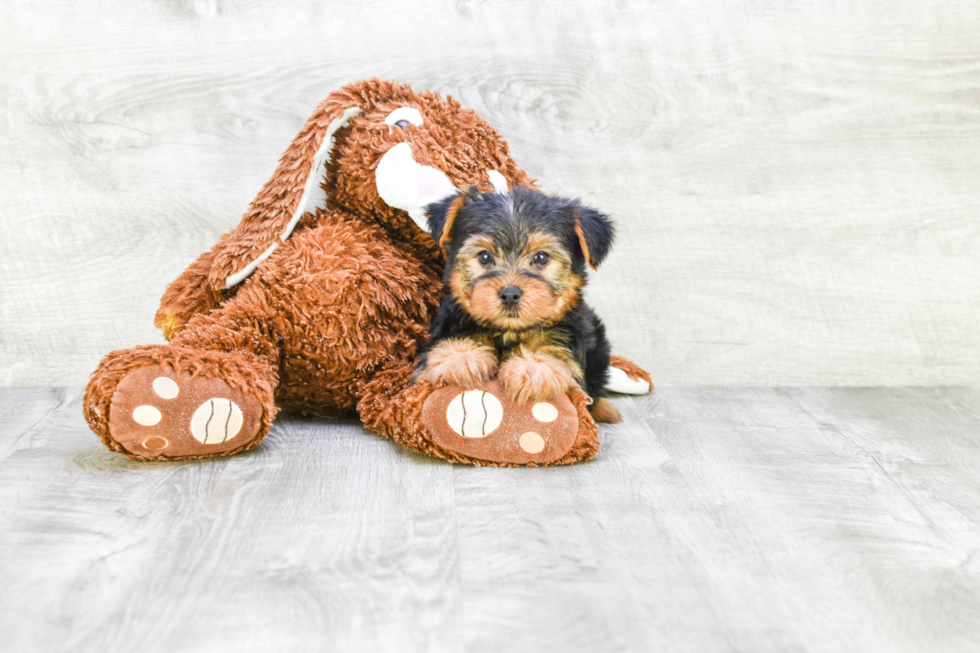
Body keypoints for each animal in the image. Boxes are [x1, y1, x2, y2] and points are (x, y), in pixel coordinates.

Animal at [414, 186, 620, 426]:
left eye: (541, 257)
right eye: (485, 257)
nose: (510, 294)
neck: (509, 331)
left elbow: (559, 360)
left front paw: (534, 368)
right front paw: (461, 356)